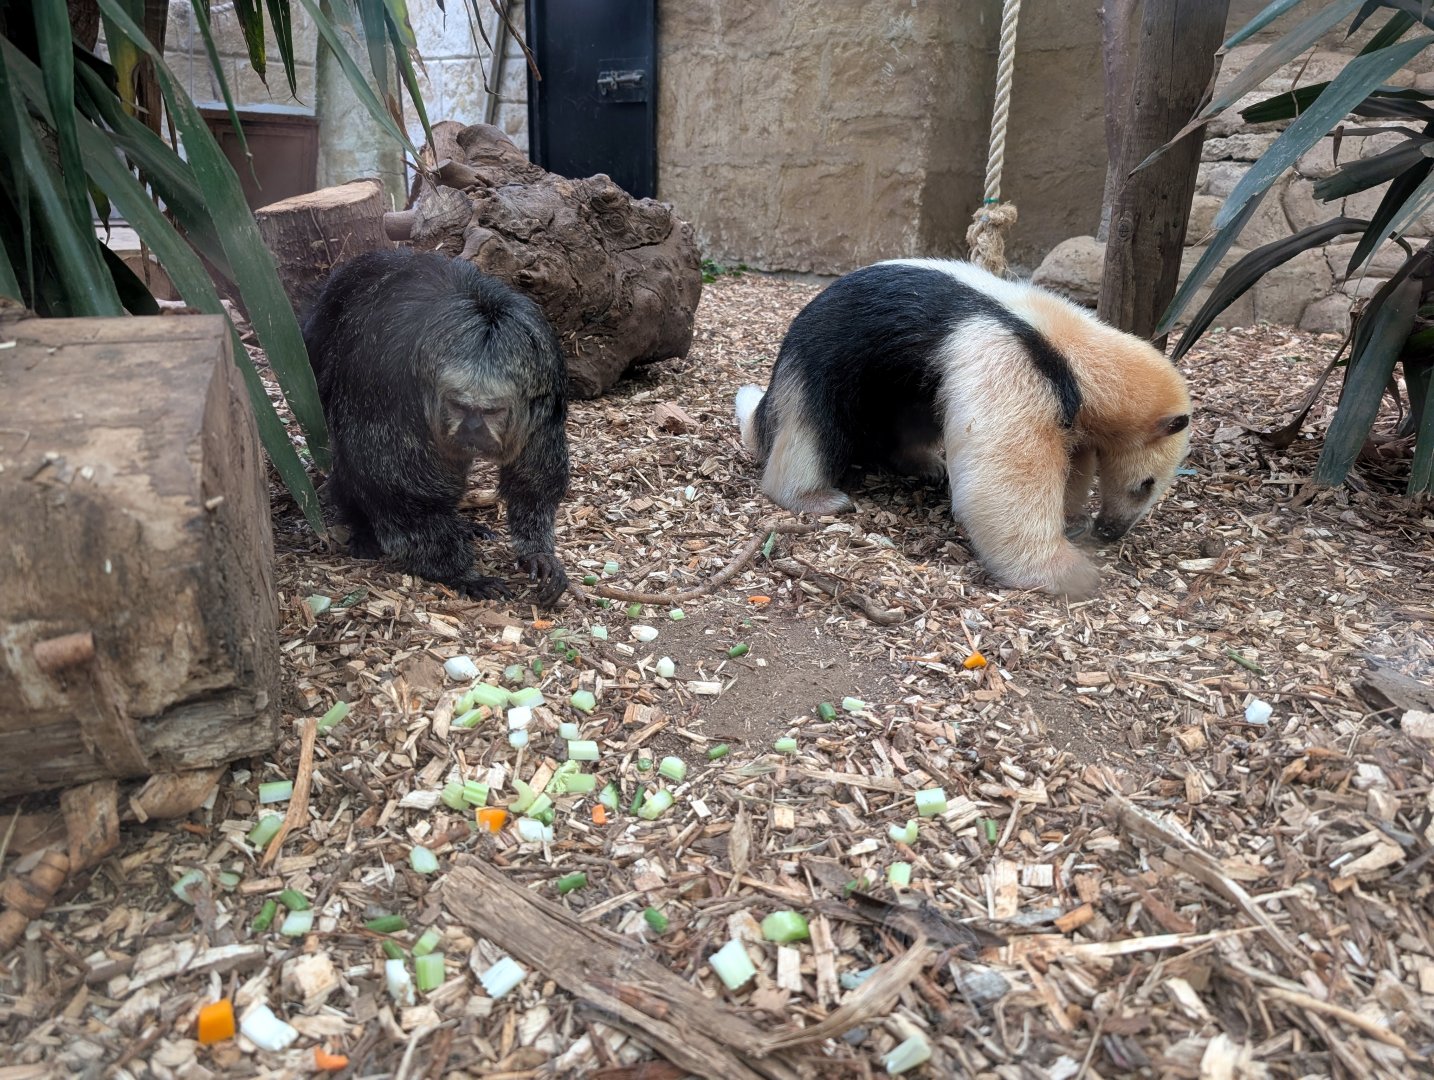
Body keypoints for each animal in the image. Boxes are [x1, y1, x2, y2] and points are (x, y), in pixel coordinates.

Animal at [303, 249, 570, 606]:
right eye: (459, 406)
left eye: (492, 411)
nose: (472, 428)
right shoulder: (390, 388)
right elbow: (401, 493)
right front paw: (462, 575)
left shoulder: (545, 386)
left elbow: (533, 479)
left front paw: (538, 553)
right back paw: (361, 527)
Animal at [734, 258, 1192, 597]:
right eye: (1147, 483)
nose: (1111, 530)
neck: (1070, 349)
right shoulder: (1009, 362)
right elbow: (1007, 475)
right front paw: (1069, 571)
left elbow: (1071, 463)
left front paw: (1073, 518)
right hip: (822, 367)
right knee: (812, 428)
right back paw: (817, 498)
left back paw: (923, 464)